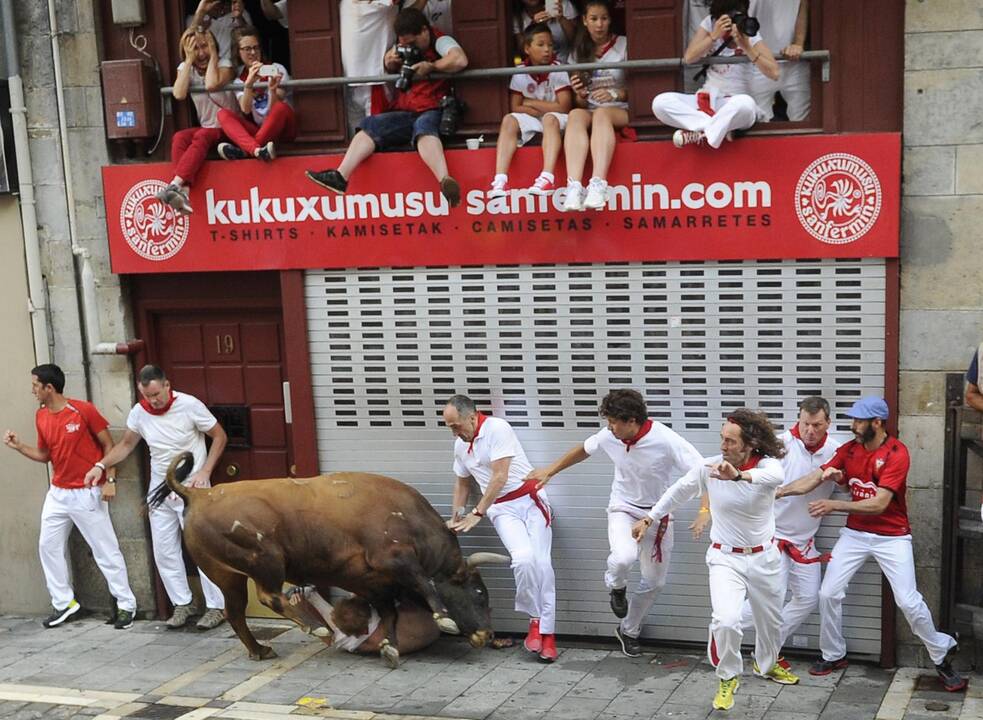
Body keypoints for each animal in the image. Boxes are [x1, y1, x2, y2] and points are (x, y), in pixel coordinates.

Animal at [154, 452, 508, 668]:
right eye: (479, 593)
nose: (487, 635)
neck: (410, 520)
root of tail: (200, 493)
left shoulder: (372, 582)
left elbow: (390, 614)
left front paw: (389, 646)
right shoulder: (395, 558)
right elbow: (425, 583)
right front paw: (444, 618)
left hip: (226, 575)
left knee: (236, 612)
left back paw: (260, 649)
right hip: (266, 560)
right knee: (269, 597)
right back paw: (316, 627)